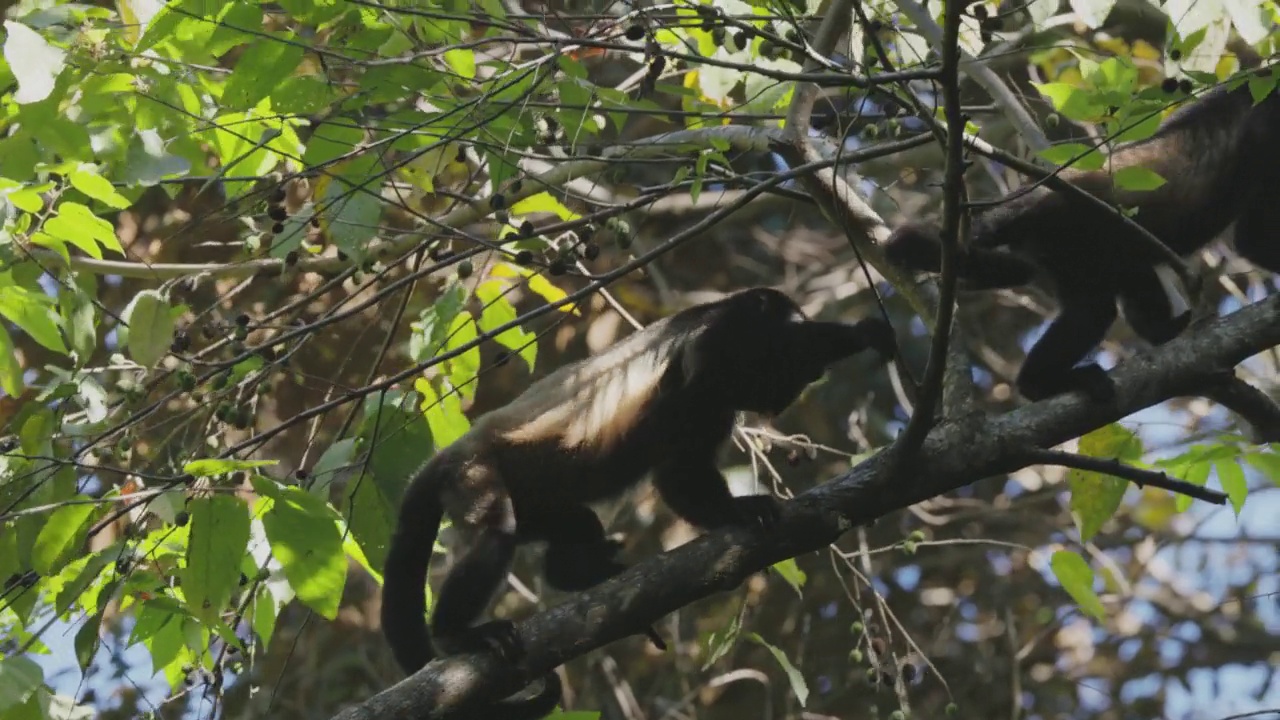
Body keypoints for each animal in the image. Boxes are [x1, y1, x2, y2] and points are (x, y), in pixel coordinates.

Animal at [381, 283, 901, 712]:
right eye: (785, 358)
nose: (809, 376)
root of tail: (443, 458)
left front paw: (864, 334)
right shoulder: (711, 356)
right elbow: (677, 474)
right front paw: (743, 508)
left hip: (532, 499)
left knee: (576, 526)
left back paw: (580, 573)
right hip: (472, 474)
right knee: (496, 533)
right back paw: (456, 635)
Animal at [880, 68, 1280, 397]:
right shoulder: (1268, 128)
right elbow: (1253, 240)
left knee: (1128, 276)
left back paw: (1164, 330)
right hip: (1066, 236)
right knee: (1092, 311)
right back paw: (1041, 384)